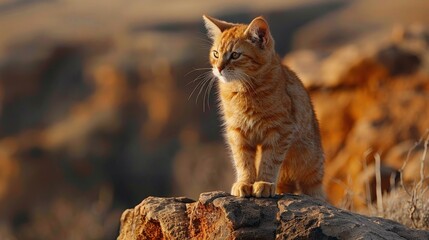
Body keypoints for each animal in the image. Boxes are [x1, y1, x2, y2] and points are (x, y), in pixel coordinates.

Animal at [203, 14, 324, 199]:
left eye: (235, 55)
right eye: (215, 54)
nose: (218, 68)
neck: (245, 91)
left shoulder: (280, 131)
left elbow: (270, 160)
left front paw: (264, 183)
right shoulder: (237, 132)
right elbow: (242, 160)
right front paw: (245, 182)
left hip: (312, 166)